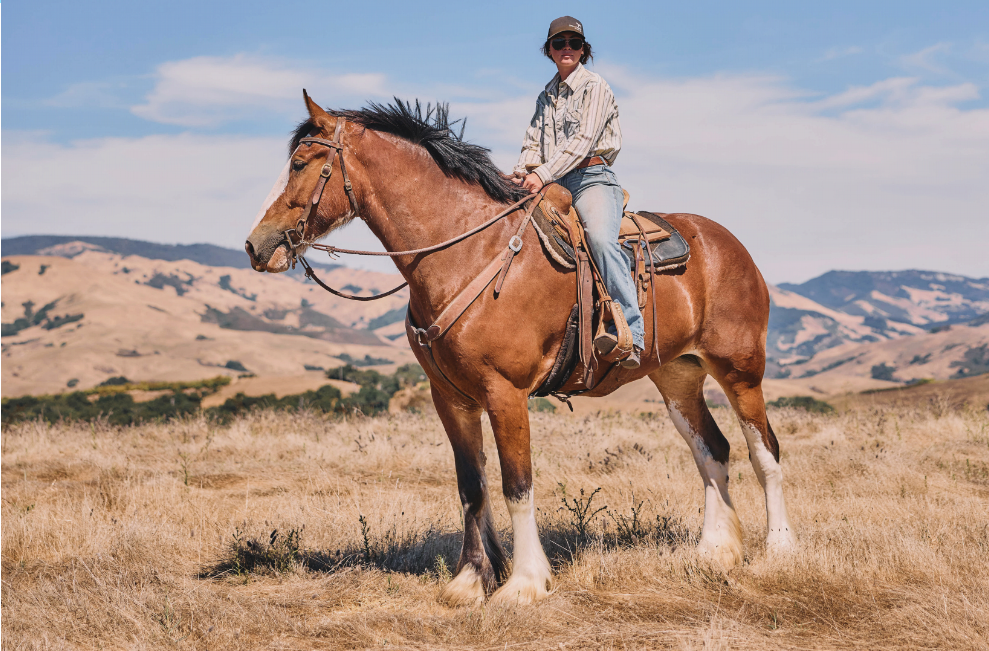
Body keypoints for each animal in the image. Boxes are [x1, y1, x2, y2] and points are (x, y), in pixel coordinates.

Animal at [245, 92, 796, 606]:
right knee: (712, 450)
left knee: (763, 451)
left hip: (740, 371)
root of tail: (729, 244)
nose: (255, 245)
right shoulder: (451, 398)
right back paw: (714, 552)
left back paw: (780, 550)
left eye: (300, 164)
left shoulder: (505, 393)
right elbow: (472, 486)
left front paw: (524, 583)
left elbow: (517, 484)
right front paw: (470, 579)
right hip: (677, 376)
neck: (467, 252)